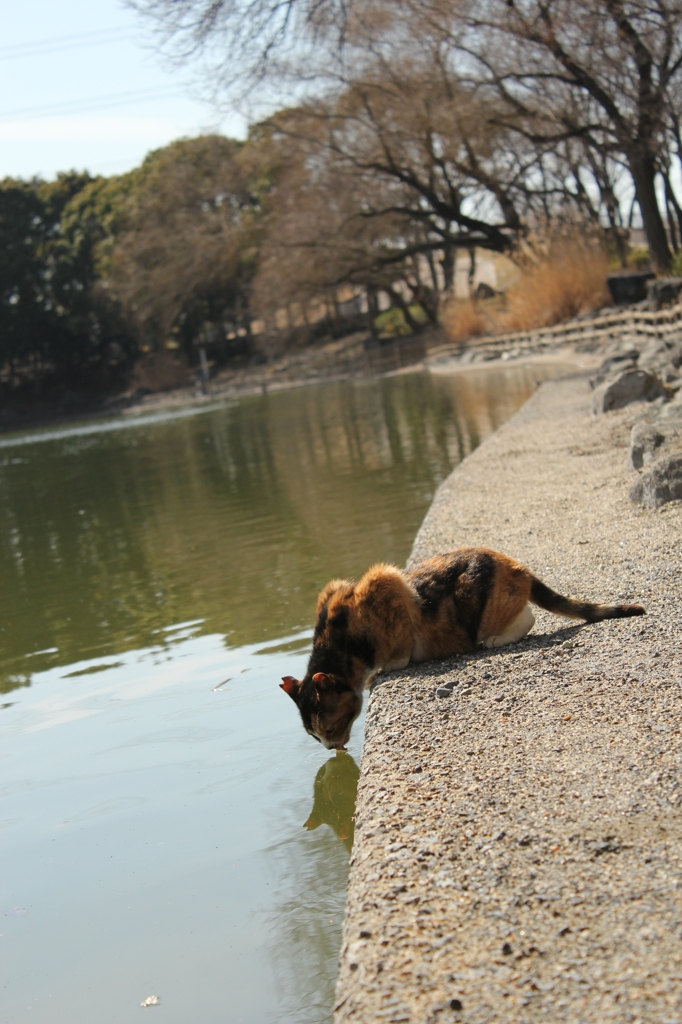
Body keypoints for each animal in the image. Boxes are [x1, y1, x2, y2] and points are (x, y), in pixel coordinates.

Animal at [280, 548, 643, 749]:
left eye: (329, 728)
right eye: (316, 737)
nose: (330, 748)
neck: (342, 639)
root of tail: (519, 566)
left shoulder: (388, 584)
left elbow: (398, 651)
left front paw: (382, 670)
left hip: (480, 608)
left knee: (527, 617)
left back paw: (495, 639)